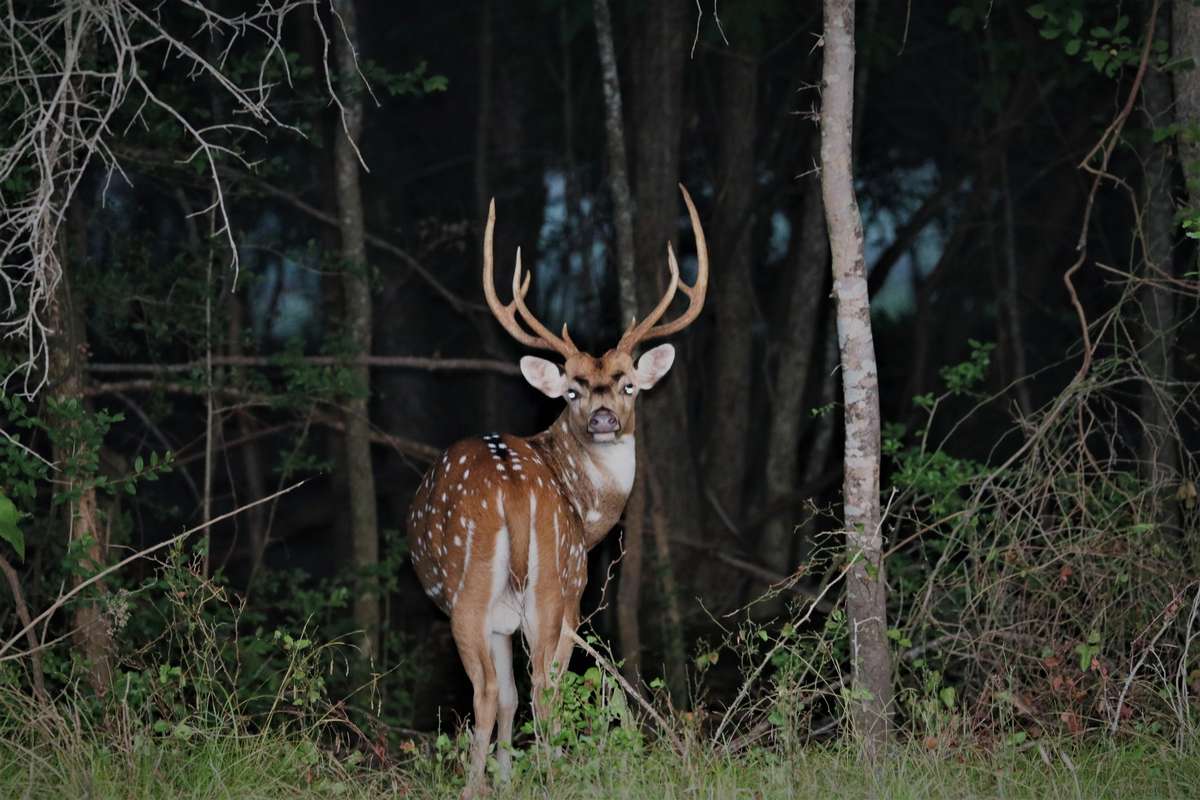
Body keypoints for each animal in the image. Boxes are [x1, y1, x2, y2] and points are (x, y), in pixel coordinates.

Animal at [406, 184, 708, 797]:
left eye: (629, 385)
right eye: (571, 391)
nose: (601, 417)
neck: (589, 516)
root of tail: (514, 489)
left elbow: (509, 695)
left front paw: (503, 779)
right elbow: (518, 694)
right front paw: (508, 777)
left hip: (506, 591)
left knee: (506, 691)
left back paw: (496, 782)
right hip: (550, 589)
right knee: (535, 689)